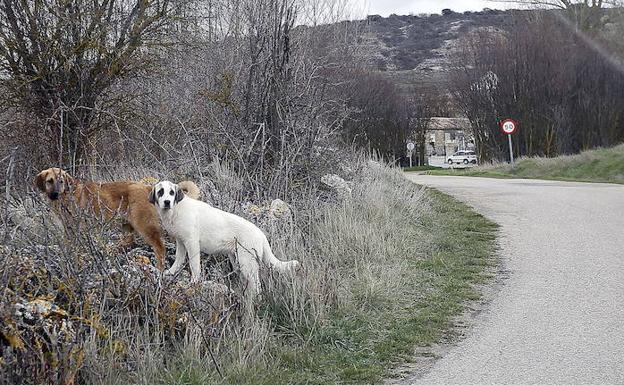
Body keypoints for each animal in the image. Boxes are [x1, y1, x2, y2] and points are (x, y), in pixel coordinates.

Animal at [34, 166, 200, 268]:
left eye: (61, 181)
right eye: (50, 181)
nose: (55, 194)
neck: (67, 196)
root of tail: (149, 187)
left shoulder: (80, 228)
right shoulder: (69, 229)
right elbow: (69, 245)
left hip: (144, 225)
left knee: (159, 248)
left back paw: (159, 270)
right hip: (126, 224)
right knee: (128, 241)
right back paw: (112, 250)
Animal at [149, 178, 300, 296]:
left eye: (172, 193)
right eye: (160, 192)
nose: (167, 202)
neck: (176, 210)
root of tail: (261, 234)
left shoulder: (192, 243)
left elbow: (194, 265)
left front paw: (194, 282)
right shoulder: (181, 242)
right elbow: (178, 260)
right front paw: (170, 272)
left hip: (247, 263)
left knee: (257, 286)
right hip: (238, 261)